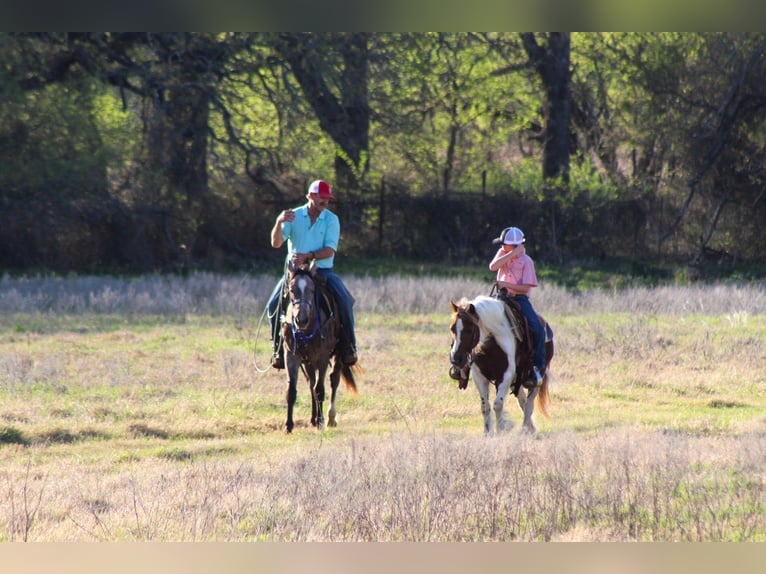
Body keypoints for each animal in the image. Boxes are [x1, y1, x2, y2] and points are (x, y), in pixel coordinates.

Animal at [280, 260, 359, 433]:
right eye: (292, 290)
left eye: (311, 290)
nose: (301, 320)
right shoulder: (292, 356)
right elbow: (292, 391)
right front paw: (288, 425)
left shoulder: (322, 358)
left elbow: (320, 390)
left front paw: (321, 421)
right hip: (308, 362)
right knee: (311, 382)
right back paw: (313, 419)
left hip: (338, 355)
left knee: (333, 380)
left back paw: (330, 418)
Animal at [449, 295, 553, 434]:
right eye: (452, 328)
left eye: (470, 330)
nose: (456, 359)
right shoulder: (480, 377)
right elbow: (485, 406)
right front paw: (488, 432)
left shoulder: (505, 376)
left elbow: (498, 404)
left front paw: (500, 430)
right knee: (523, 400)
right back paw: (530, 428)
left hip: (537, 377)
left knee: (529, 403)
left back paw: (525, 429)